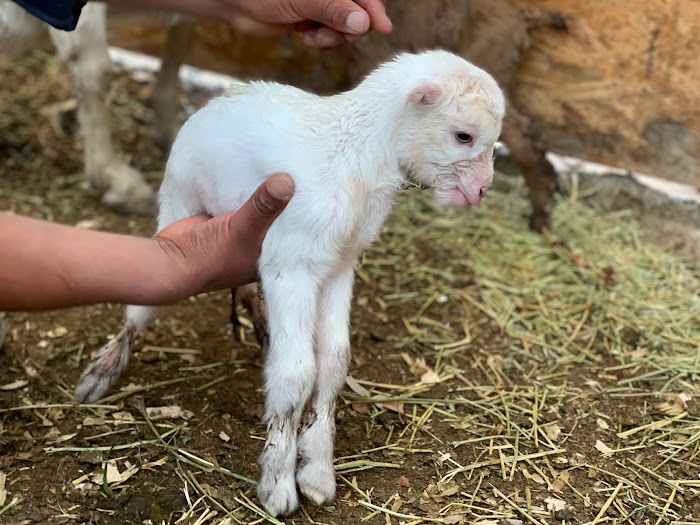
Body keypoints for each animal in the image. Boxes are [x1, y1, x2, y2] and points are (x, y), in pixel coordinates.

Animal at [74, 49, 505, 516]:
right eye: (463, 135)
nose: (482, 190)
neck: (355, 158)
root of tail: (216, 100)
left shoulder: (339, 266)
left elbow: (333, 361)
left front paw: (317, 472)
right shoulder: (291, 264)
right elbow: (297, 372)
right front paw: (278, 482)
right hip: (177, 205)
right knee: (143, 305)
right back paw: (99, 374)